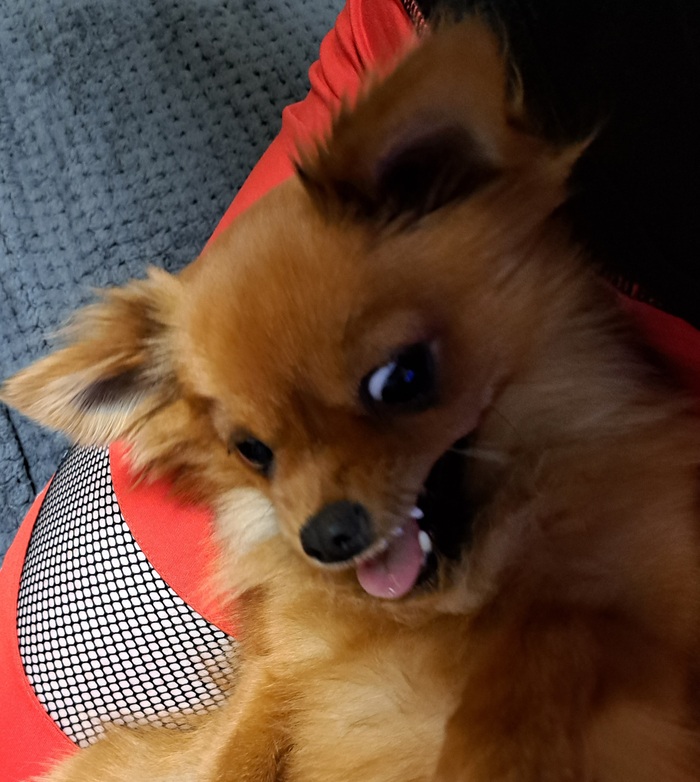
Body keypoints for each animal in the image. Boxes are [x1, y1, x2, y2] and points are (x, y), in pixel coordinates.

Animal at [3, 18, 700, 782]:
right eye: (252, 451)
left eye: (400, 381)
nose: (327, 535)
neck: (441, 609)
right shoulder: (279, 672)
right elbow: (239, 750)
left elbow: (557, 636)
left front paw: (495, 738)